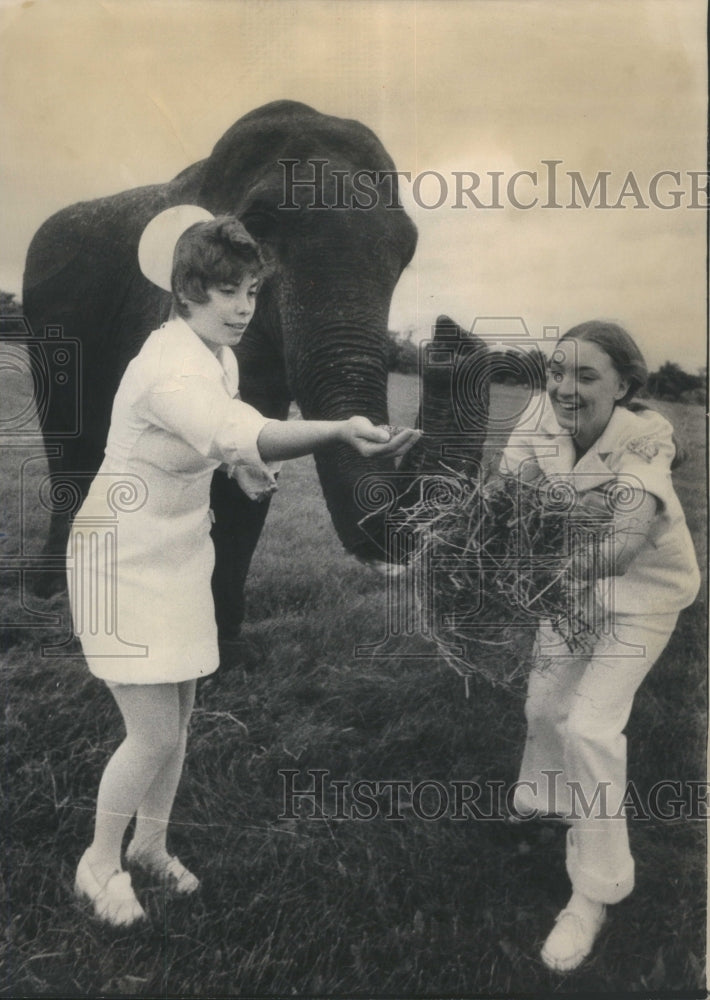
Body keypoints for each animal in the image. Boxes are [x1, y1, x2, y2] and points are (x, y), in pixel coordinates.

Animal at [20, 101, 490, 664]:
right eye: (259, 226)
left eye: (409, 248)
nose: (452, 337)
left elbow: (254, 445)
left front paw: (224, 645)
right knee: (67, 440)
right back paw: (55, 592)